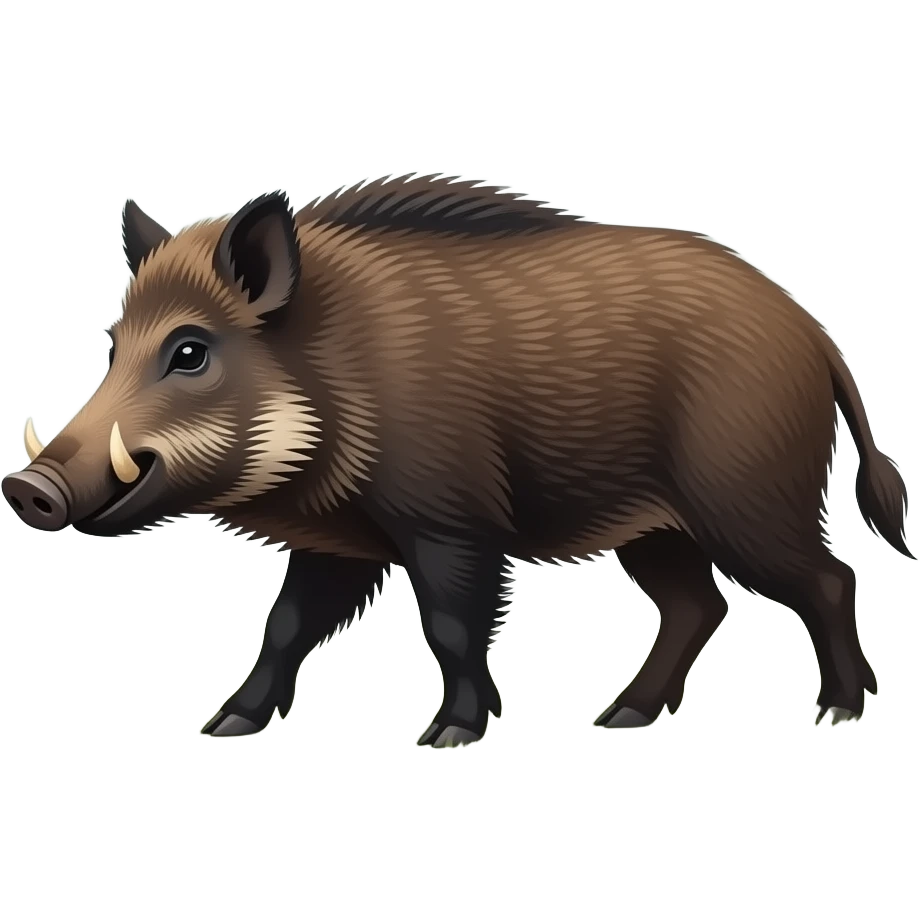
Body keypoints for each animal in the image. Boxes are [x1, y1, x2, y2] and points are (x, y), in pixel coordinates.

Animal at [2, 176, 913, 748]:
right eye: (113, 345)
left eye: (189, 351)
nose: (27, 487)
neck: (333, 376)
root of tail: (815, 333)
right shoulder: (340, 541)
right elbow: (287, 627)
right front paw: (224, 728)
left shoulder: (451, 521)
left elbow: (450, 622)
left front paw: (445, 737)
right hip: (654, 524)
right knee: (699, 605)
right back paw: (617, 721)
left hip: (745, 496)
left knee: (826, 580)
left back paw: (836, 715)